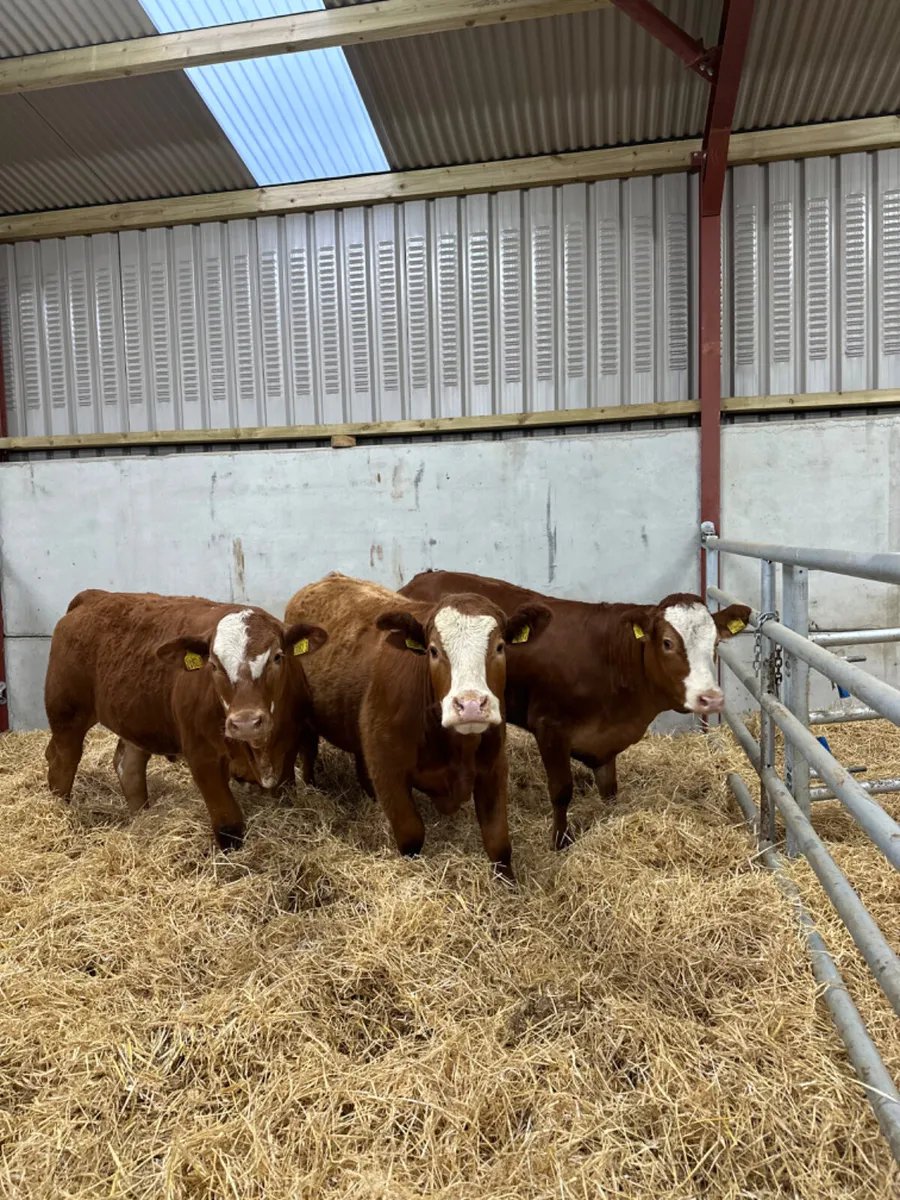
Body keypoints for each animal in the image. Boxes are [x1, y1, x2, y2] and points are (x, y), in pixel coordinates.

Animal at [44, 590, 327, 850]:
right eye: (213, 665)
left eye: (277, 656)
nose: (245, 723)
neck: (260, 751)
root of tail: (93, 596)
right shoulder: (203, 757)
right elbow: (229, 826)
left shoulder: (288, 752)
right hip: (66, 714)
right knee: (62, 762)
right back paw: (60, 812)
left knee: (128, 765)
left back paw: (142, 817)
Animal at [284, 573, 551, 880]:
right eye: (433, 651)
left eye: (500, 647)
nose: (471, 705)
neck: (456, 746)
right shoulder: (389, 771)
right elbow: (411, 835)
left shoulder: (494, 765)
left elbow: (498, 842)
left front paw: (509, 885)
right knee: (309, 751)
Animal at [400, 570, 751, 850]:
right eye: (667, 643)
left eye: (716, 644)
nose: (710, 698)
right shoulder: (549, 727)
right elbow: (561, 791)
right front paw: (560, 840)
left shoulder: (606, 739)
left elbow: (609, 789)